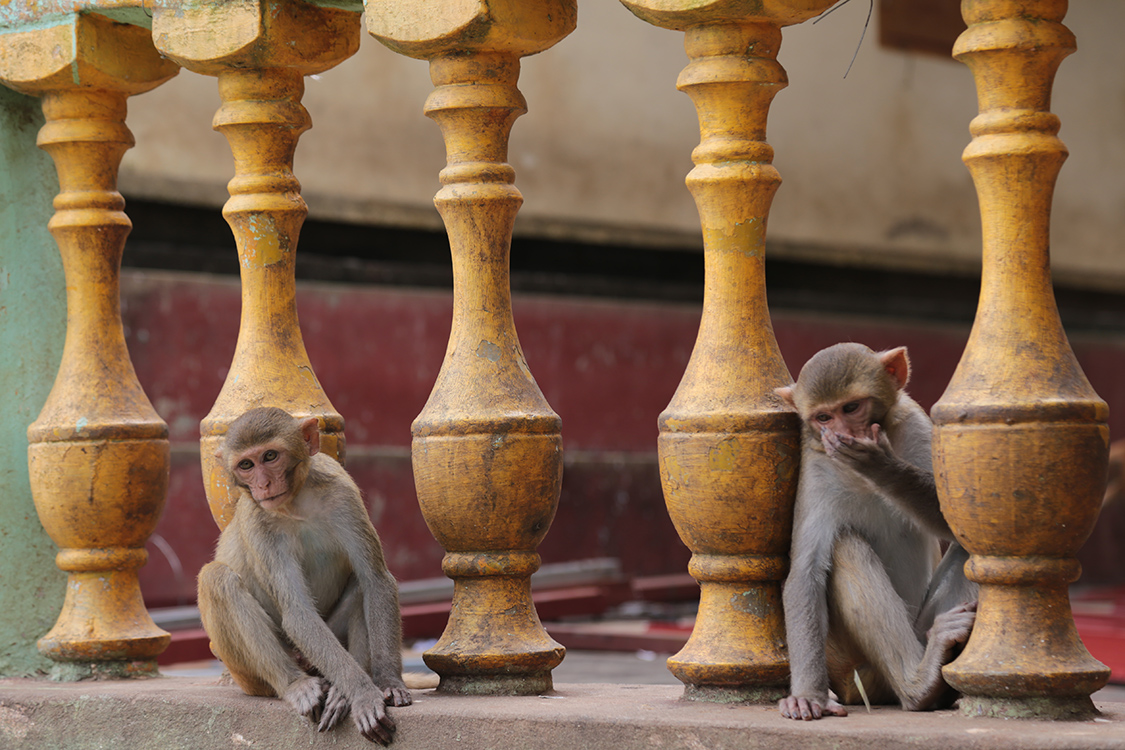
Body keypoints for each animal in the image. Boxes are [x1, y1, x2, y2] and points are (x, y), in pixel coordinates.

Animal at [199, 407, 414, 746]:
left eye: (270, 456)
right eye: (246, 465)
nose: (263, 485)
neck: (296, 502)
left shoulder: (343, 494)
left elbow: (376, 580)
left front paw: (386, 681)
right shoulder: (260, 522)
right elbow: (297, 611)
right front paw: (362, 693)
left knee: (359, 583)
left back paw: (339, 691)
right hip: (245, 674)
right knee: (216, 578)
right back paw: (295, 684)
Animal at [774, 344, 976, 719]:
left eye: (851, 408)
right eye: (823, 418)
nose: (844, 432)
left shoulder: (915, 424)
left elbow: (956, 520)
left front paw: (881, 466)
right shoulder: (816, 464)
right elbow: (806, 572)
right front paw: (808, 696)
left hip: (919, 628)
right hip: (850, 667)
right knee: (845, 547)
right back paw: (918, 686)